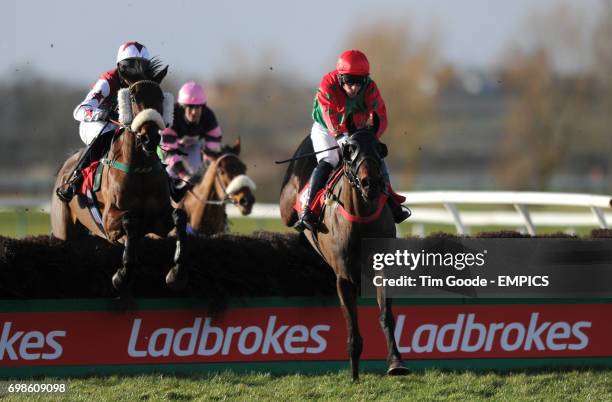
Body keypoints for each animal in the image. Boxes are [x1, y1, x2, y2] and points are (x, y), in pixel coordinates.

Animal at [52, 66, 189, 292]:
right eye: (132, 97)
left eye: (161, 97)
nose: (150, 138)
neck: (140, 169)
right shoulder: (109, 222)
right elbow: (129, 220)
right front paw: (122, 274)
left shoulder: (158, 222)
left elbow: (179, 216)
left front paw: (176, 272)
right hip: (63, 228)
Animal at [280, 129, 406, 380]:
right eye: (350, 150)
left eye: (379, 148)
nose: (371, 183)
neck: (361, 218)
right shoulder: (344, 277)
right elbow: (351, 323)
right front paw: (354, 372)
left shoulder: (382, 269)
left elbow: (385, 315)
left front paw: (396, 362)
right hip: (287, 207)